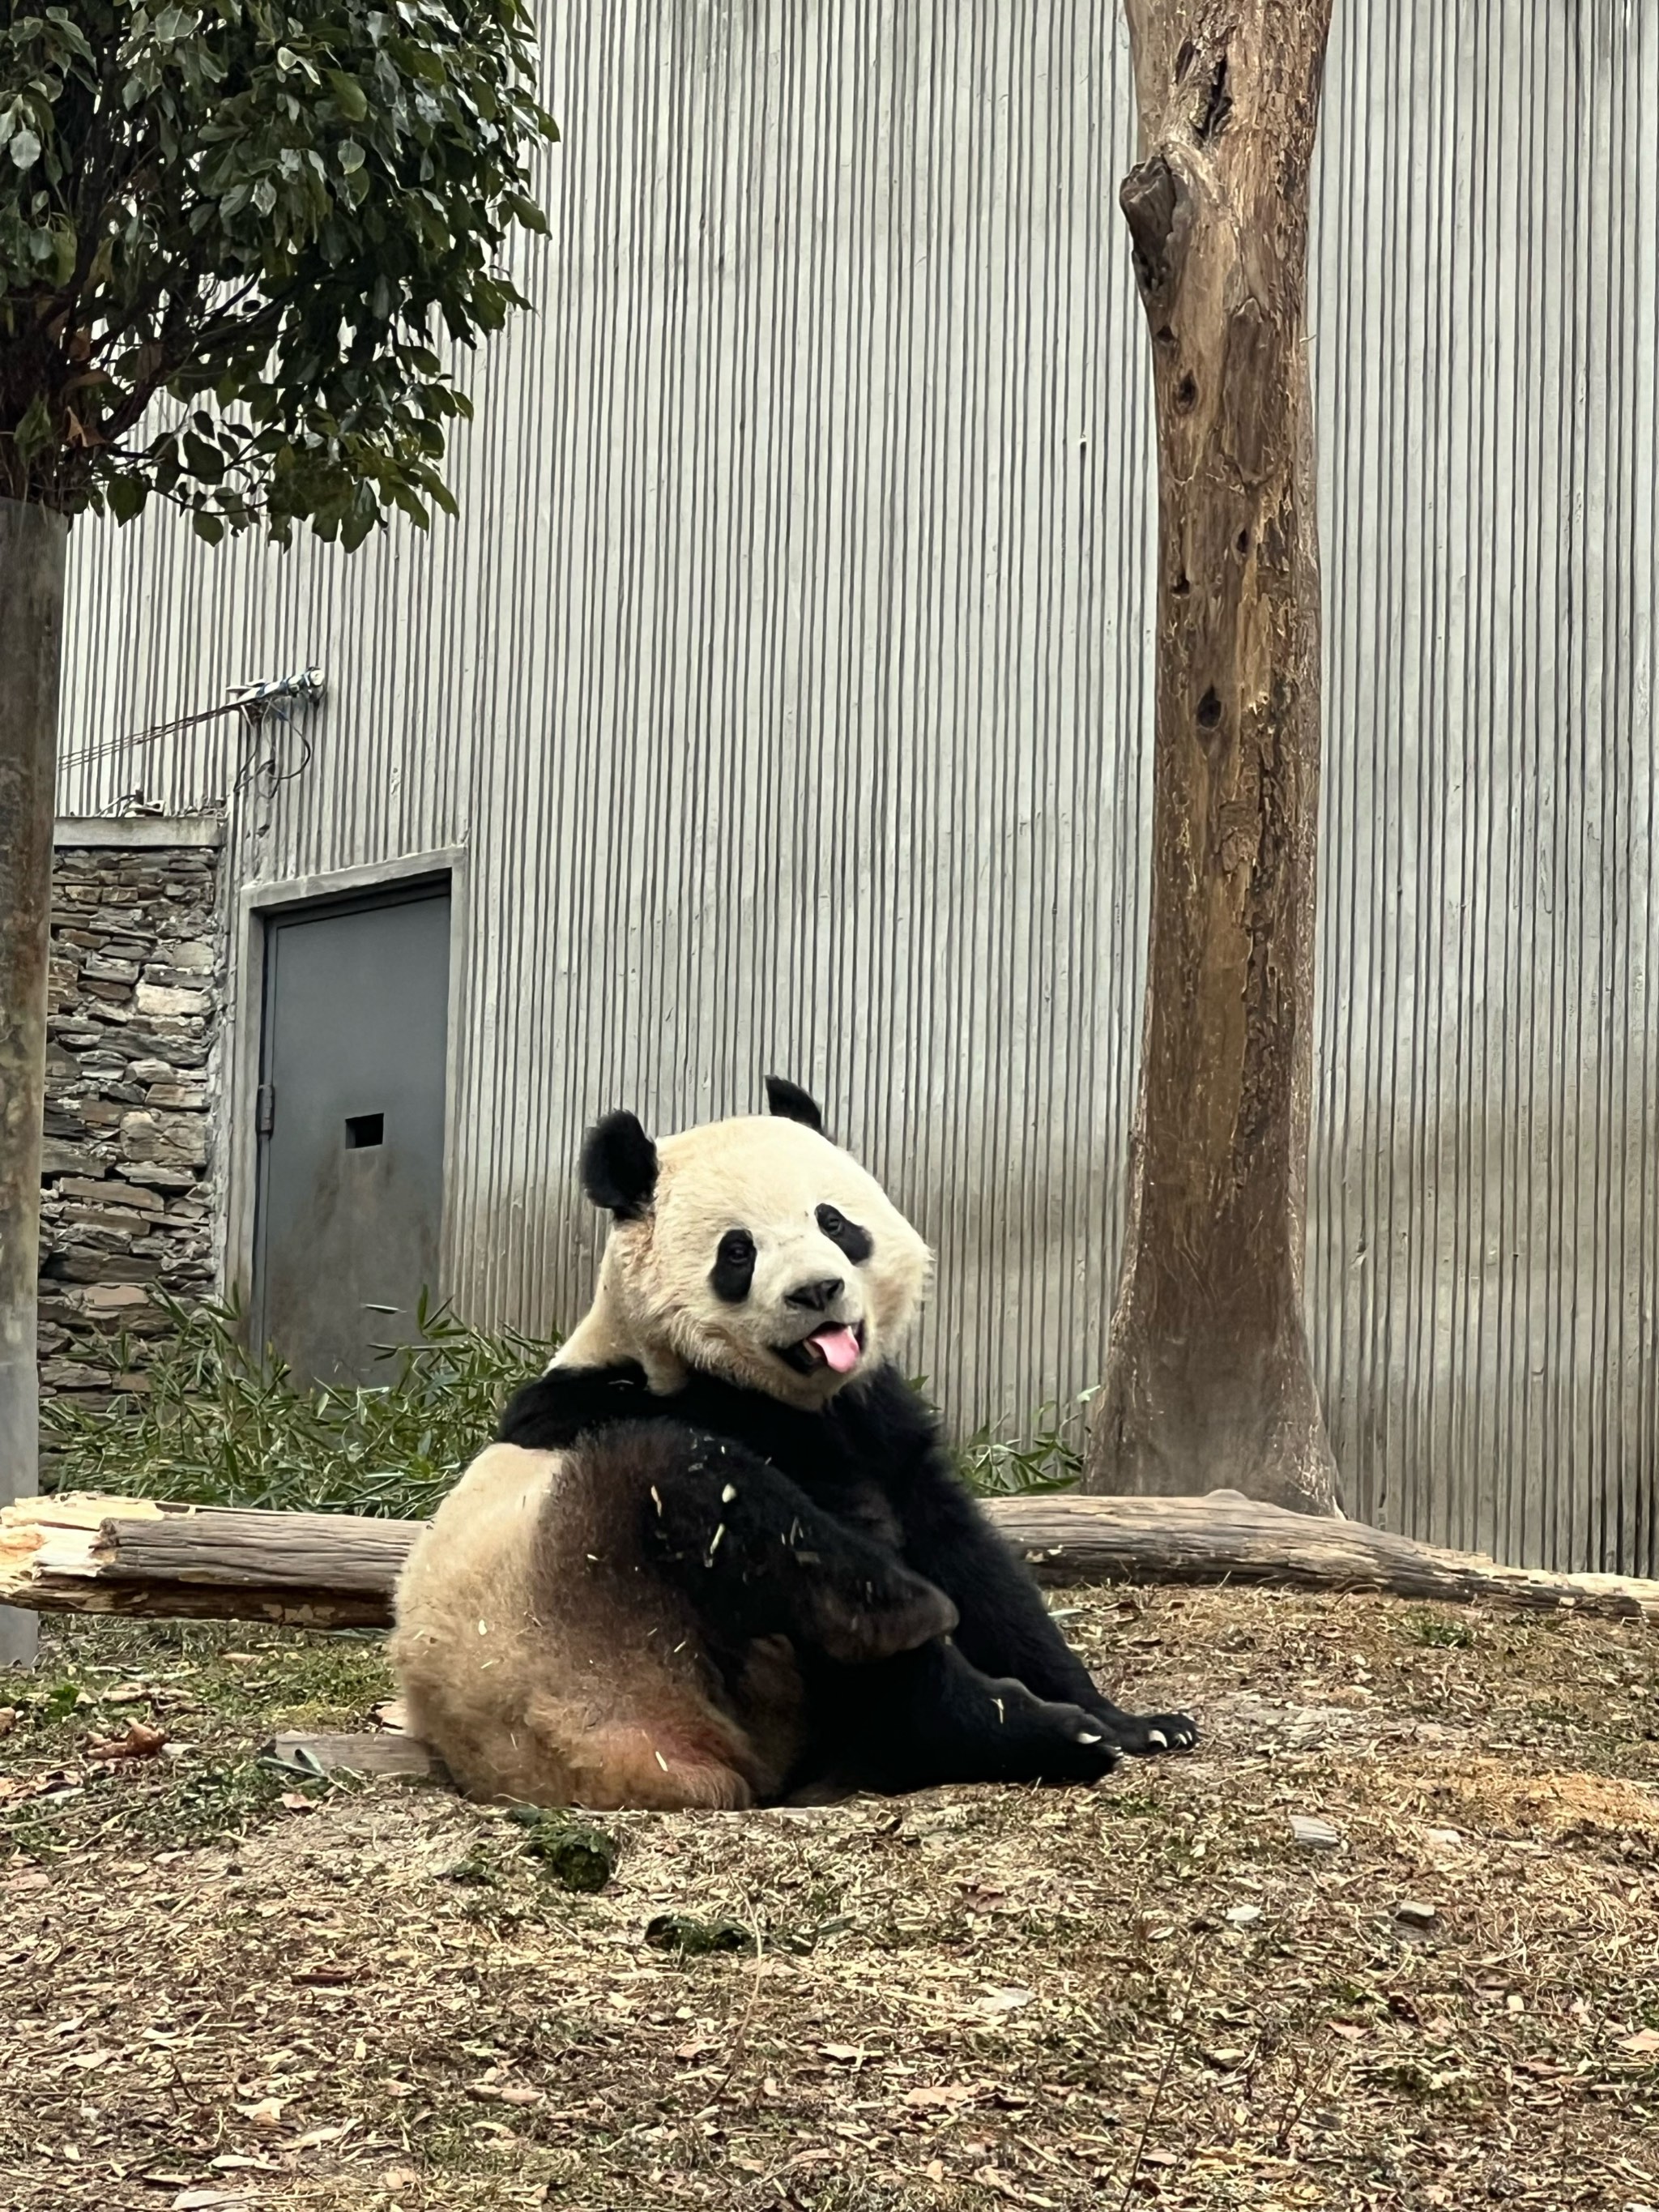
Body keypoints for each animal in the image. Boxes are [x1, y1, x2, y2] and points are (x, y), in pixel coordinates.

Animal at [389, 1074, 1194, 1813]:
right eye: (737, 1251)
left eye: (834, 1221)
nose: (817, 1292)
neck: (790, 1394)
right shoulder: (674, 1402)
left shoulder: (879, 1420)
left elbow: (975, 1563)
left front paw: (1136, 1722)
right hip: (590, 1614)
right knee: (692, 1492)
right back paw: (963, 1673)